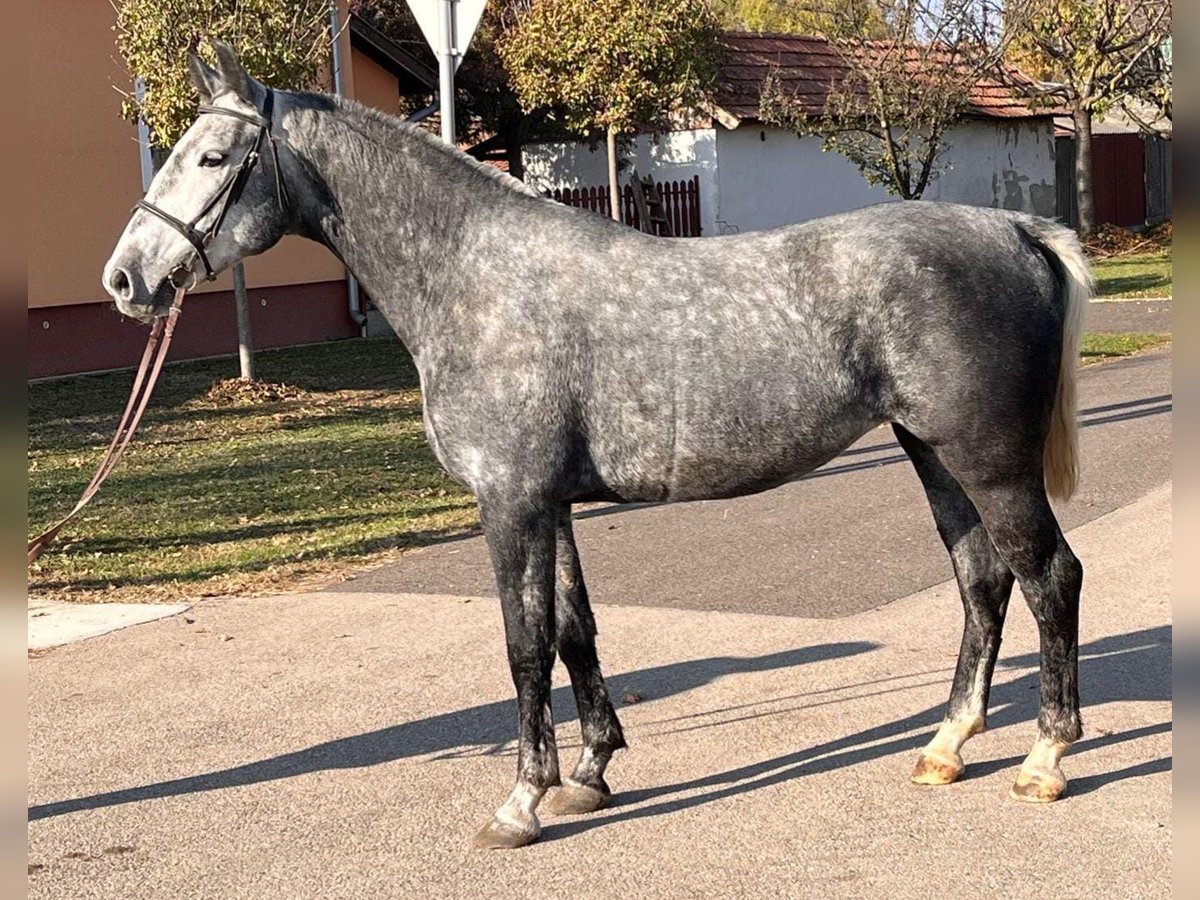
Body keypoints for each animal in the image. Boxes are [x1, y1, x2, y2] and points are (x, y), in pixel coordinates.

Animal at [108, 45, 1094, 849]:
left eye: (211, 157)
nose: (124, 279)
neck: (474, 277)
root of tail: (1018, 230)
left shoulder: (509, 502)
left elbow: (523, 644)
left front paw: (521, 802)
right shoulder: (551, 504)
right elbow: (574, 630)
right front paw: (588, 773)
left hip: (989, 462)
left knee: (1049, 576)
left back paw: (1044, 760)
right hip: (932, 454)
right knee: (982, 581)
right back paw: (946, 745)